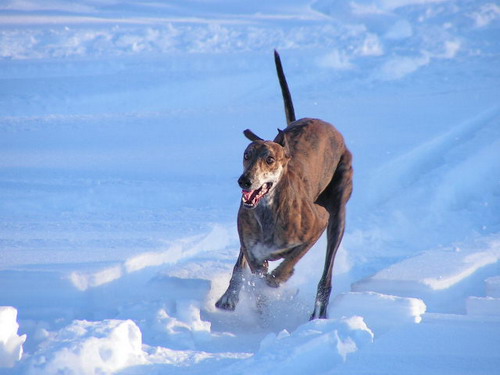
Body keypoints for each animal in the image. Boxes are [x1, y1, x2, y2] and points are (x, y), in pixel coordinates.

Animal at [217, 50, 354, 320]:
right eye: (246, 155)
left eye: (269, 159)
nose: (244, 180)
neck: (268, 211)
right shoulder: (251, 246)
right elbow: (251, 269)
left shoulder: (318, 224)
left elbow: (288, 263)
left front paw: (279, 278)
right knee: (241, 264)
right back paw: (230, 296)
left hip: (337, 214)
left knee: (326, 273)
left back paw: (319, 312)